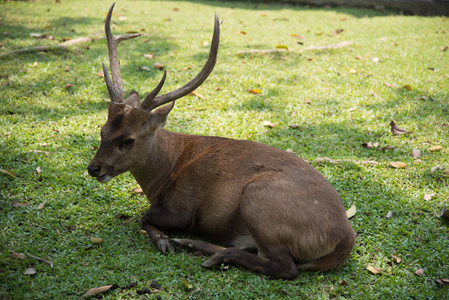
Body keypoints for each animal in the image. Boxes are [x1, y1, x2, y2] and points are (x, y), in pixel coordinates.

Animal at [86, 2, 354, 280]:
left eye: (128, 140)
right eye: (102, 130)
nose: (94, 168)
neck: (164, 173)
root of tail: (344, 240)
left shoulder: (182, 209)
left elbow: (144, 218)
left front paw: (164, 241)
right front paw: (171, 241)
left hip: (258, 199)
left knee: (285, 267)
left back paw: (207, 253)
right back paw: (198, 248)